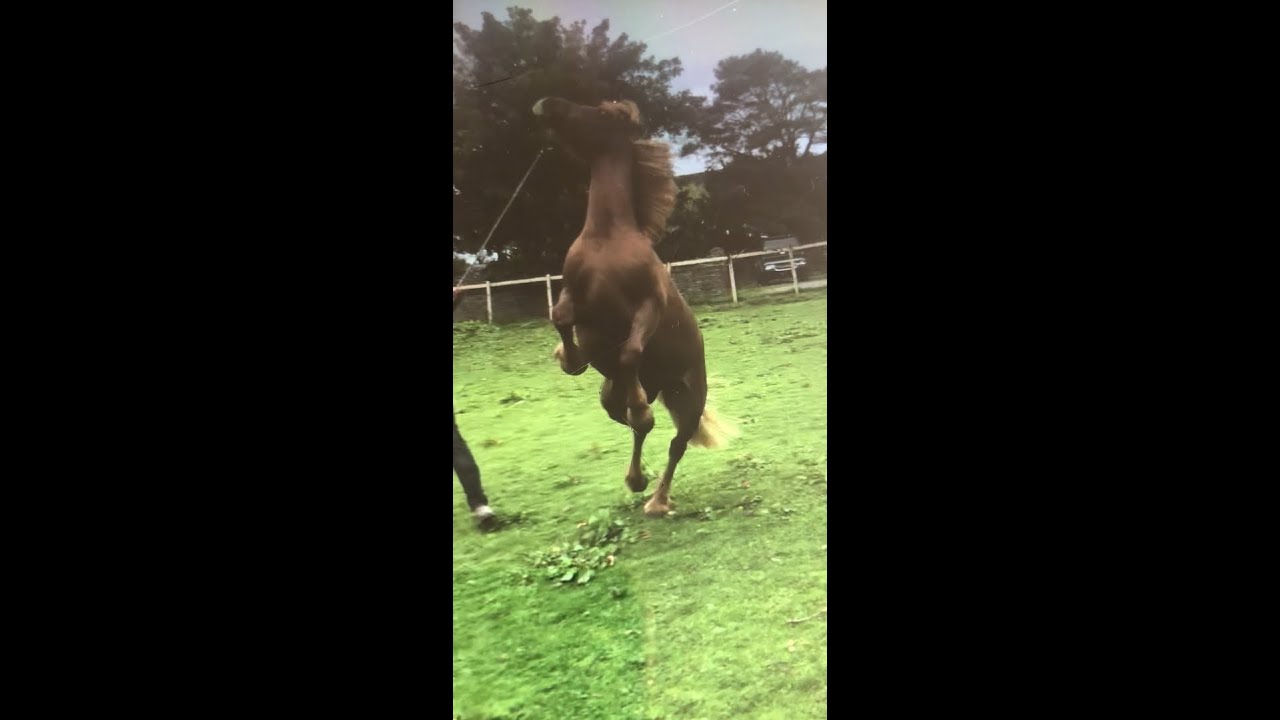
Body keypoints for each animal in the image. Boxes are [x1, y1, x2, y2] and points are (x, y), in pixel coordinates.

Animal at [532, 96, 735, 518]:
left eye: (599, 113)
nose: (547, 104)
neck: (607, 238)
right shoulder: (574, 294)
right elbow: (560, 318)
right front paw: (569, 357)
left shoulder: (649, 304)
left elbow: (631, 350)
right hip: (610, 392)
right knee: (629, 421)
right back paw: (637, 477)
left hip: (691, 400)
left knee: (673, 442)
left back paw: (657, 499)